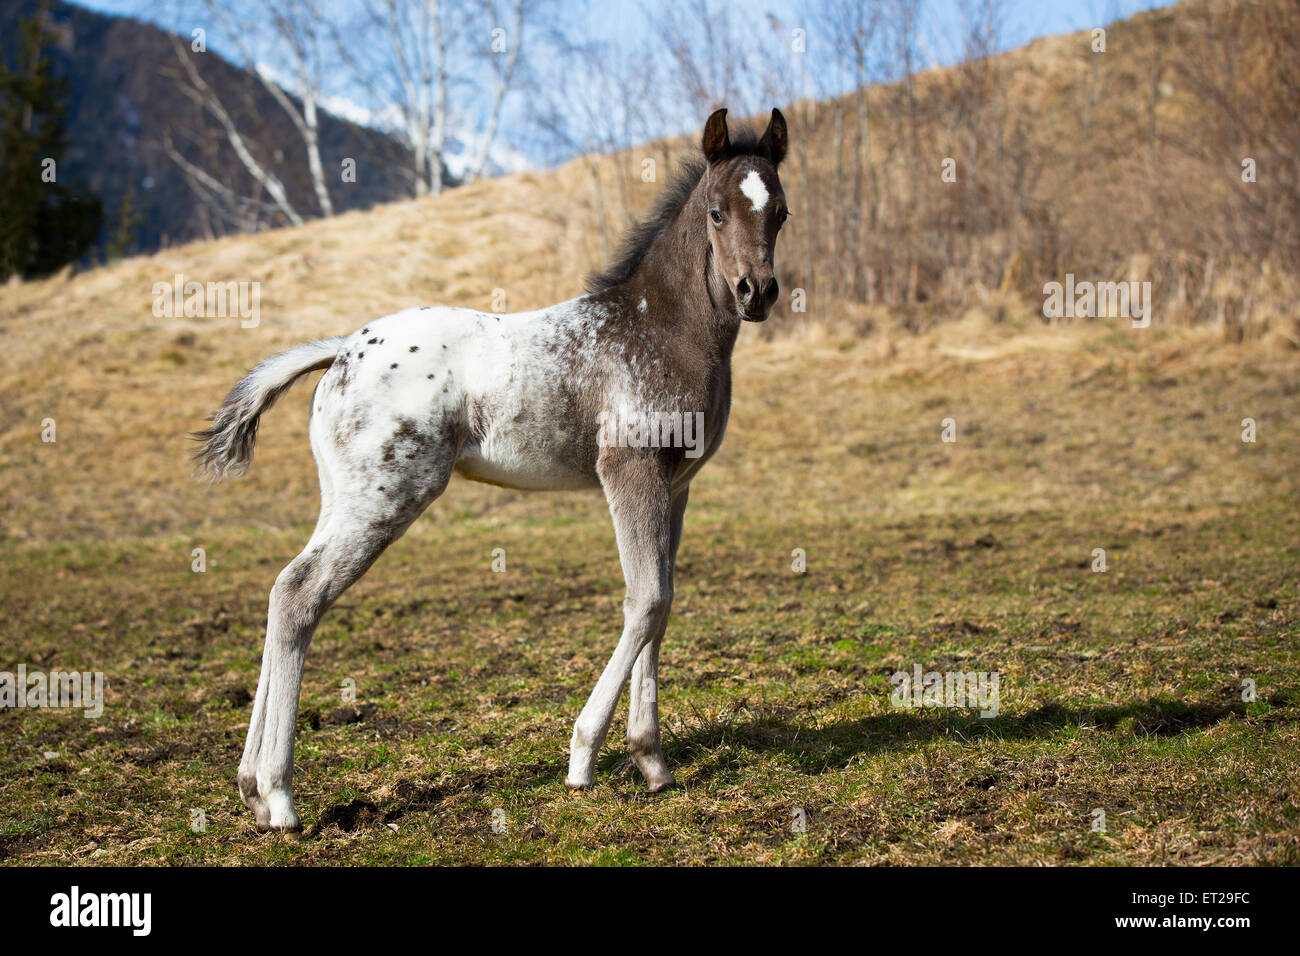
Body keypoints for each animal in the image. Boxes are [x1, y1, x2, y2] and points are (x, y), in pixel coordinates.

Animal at [195, 106, 790, 832]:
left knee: (283, 587)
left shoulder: (675, 488)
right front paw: (584, 758)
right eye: (715, 211)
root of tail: (339, 352)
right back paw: (280, 797)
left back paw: (252, 787)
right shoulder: (629, 471)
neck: (660, 331)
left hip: (344, 498)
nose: (756, 293)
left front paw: (652, 761)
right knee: (300, 595)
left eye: (782, 211)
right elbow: (646, 600)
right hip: (385, 499)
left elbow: (664, 604)